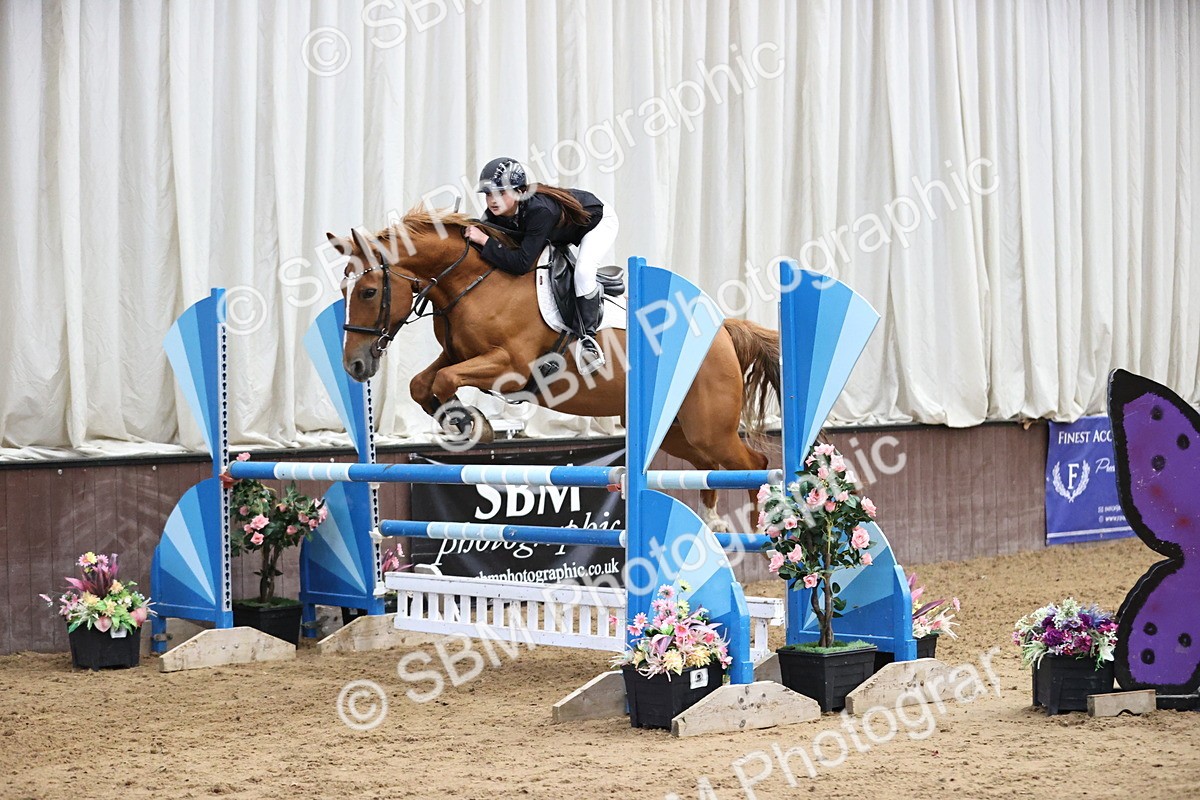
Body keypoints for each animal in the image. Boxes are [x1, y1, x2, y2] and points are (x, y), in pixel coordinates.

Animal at [327, 207, 781, 531]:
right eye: (344, 290)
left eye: (369, 291)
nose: (355, 364)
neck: (476, 279)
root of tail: (721, 332)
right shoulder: (458, 354)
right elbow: (423, 383)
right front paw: (458, 421)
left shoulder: (508, 365)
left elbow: (442, 379)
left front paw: (471, 424)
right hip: (677, 432)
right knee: (712, 468)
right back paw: (714, 520)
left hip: (709, 428)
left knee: (755, 464)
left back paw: (763, 527)